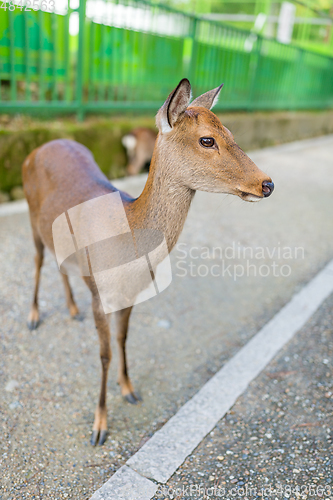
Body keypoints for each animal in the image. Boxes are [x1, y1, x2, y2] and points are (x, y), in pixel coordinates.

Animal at [22, 78, 272, 446]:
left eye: (230, 132)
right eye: (207, 140)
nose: (267, 183)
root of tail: (36, 149)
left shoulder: (131, 294)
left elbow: (124, 339)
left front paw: (129, 389)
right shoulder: (100, 292)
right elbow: (105, 352)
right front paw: (99, 426)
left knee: (59, 262)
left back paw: (71, 309)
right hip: (31, 212)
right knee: (38, 259)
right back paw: (34, 316)